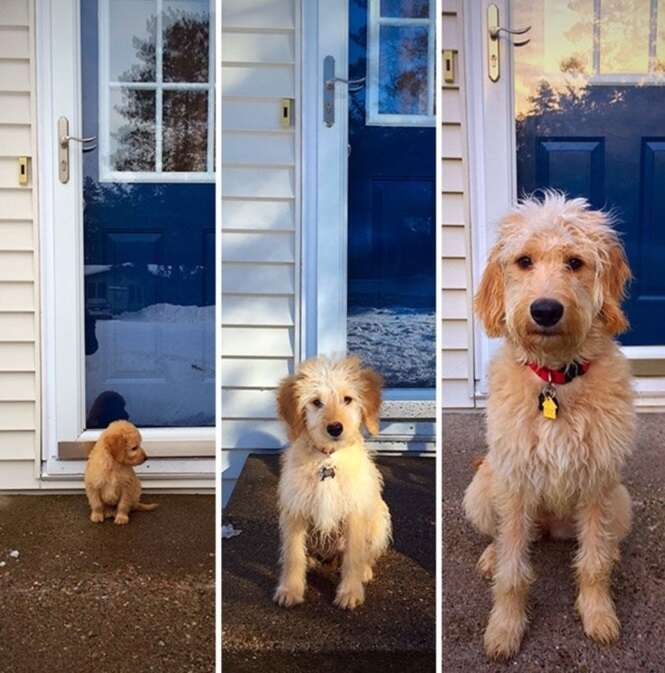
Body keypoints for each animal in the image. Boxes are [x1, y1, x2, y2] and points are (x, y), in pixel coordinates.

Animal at [272, 356, 392, 608]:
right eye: (316, 402)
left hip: (379, 520)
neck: (327, 460)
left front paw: (350, 592)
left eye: (348, 399)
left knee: (365, 554)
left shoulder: (355, 511)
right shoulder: (295, 510)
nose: (335, 428)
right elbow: (293, 554)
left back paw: (364, 570)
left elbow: (354, 556)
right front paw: (290, 589)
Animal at [464, 192, 636, 660]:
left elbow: (593, 564)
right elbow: (512, 573)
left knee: (602, 543)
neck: (556, 379)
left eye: (575, 262)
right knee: (504, 537)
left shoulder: (597, 483)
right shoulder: (516, 482)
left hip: (621, 502)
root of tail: (552, 528)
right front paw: (505, 628)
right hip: (483, 490)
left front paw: (598, 614)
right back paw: (491, 555)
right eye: (524, 261)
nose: (544, 310)